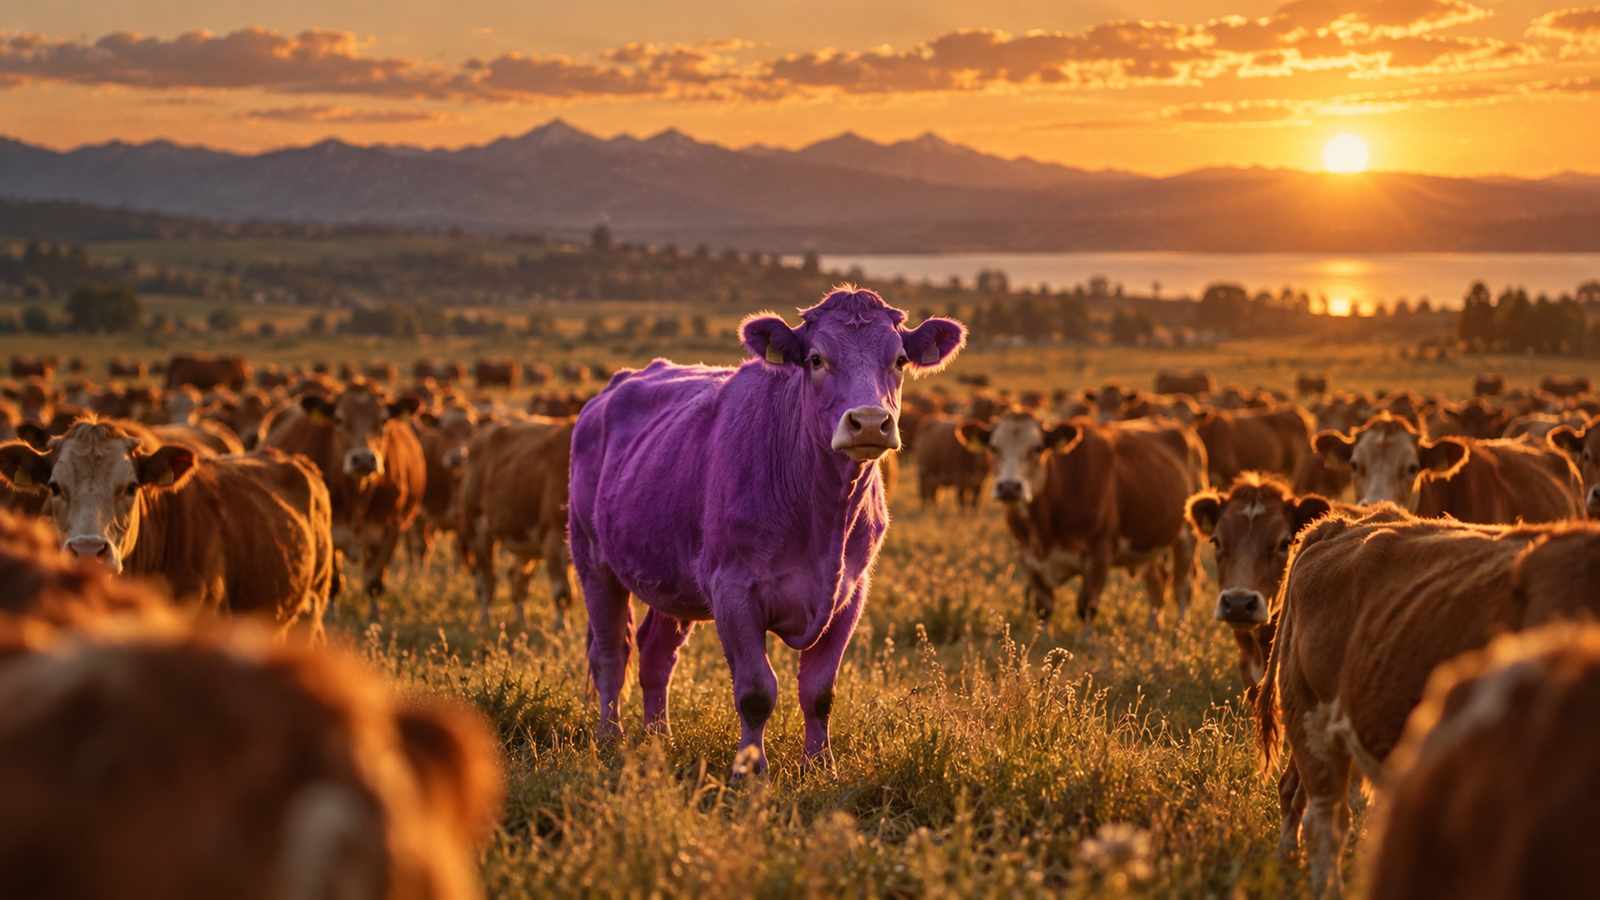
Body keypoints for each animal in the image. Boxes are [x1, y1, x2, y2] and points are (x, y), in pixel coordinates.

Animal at [264, 383, 426, 621]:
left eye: (383, 419)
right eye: (339, 419)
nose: (364, 459)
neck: (357, 498)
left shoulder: (391, 529)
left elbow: (375, 580)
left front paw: (374, 616)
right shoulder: (328, 532)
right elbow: (334, 581)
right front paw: (331, 615)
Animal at [459, 418, 574, 628]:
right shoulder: (554, 538)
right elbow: (563, 592)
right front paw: (561, 626)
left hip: (526, 540)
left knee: (518, 579)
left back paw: (522, 621)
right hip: (476, 528)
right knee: (486, 578)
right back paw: (486, 620)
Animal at [568, 287, 964, 774]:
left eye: (900, 360)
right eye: (815, 359)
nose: (869, 421)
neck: (822, 517)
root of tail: (607, 393)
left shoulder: (851, 592)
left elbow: (819, 691)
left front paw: (821, 765)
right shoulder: (733, 588)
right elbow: (756, 691)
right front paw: (750, 769)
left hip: (672, 578)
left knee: (656, 654)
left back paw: (659, 737)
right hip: (592, 560)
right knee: (611, 651)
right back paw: (610, 735)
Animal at [959, 412, 1206, 638]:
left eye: (1038, 448)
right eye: (993, 447)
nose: (1009, 487)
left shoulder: (1100, 552)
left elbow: (1087, 603)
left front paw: (1087, 641)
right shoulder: (1026, 554)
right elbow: (1043, 604)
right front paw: (1043, 638)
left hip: (1187, 536)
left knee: (1183, 585)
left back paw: (1181, 630)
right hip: (1148, 541)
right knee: (1158, 582)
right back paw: (1152, 630)